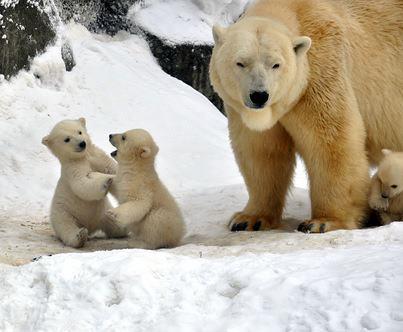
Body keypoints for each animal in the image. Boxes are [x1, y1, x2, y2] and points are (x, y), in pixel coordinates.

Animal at [211, 0, 403, 233]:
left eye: (276, 64)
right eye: (240, 63)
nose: (259, 95)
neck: (296, 10)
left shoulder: (320, 70)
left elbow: (330, 142)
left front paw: (323, 222)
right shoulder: (245, 110)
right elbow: (261, 151)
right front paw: (248, 219)